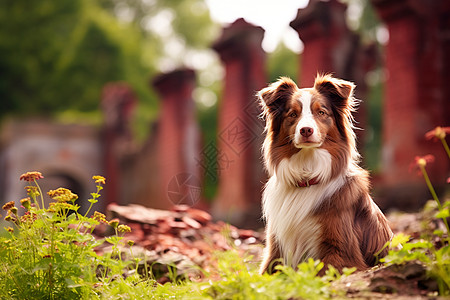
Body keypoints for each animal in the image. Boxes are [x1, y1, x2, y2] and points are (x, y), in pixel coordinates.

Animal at [258, 74, 392, 274]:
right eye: (293, 114)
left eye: (321, 112)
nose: (306, 130)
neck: (307, 176)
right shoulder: (276, 249)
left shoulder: (342, 252)